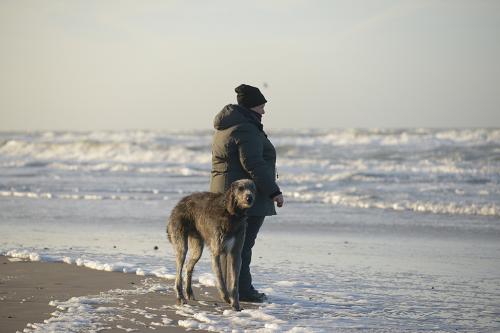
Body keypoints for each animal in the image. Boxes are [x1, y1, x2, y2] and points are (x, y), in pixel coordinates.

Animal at [167, 178, 256, 310]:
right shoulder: (216, 251)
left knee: (189, 266)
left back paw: (189, 292)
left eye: (253, 188)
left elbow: (234, 281)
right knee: (179, 272)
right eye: (240, 188)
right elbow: (220, 278)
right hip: (181, 243)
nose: (249, 198)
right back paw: (180, 297)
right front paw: (225, 297)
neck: (231, 214)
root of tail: (178, 204)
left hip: (197, 247)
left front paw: (236, 304)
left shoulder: (235, 253)